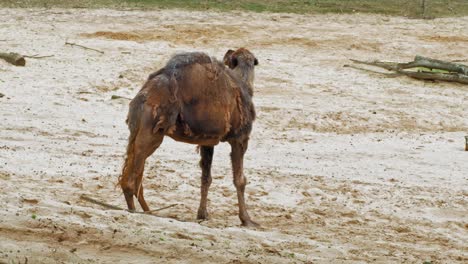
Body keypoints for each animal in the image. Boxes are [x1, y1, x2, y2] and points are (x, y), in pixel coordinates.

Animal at [119, 47, 260, 227]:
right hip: (152, 133)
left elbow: (206, 177)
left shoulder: (208, 141)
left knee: (133, 174)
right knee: (132, 179)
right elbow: (240, 180)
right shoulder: (240, 138)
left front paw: (202, 214)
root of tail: (143, 96)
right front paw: (247, 220)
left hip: (137, 129)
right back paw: (136, 211)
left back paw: (148, 211)